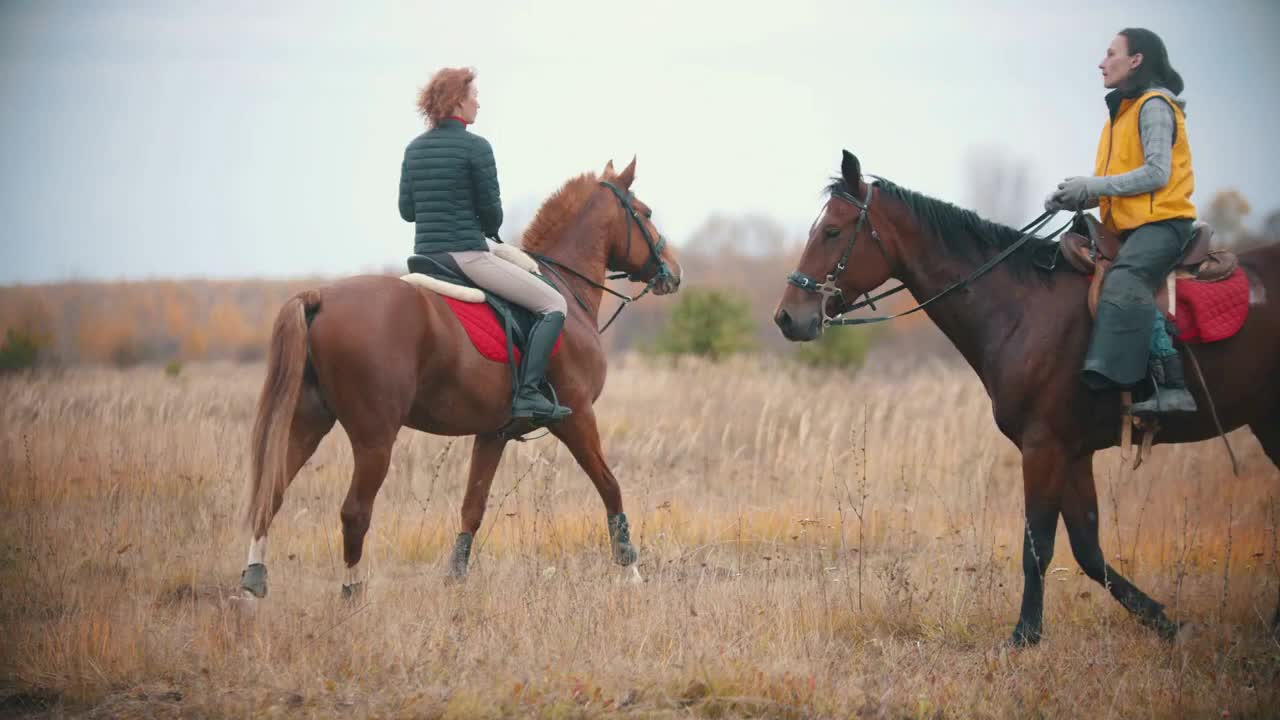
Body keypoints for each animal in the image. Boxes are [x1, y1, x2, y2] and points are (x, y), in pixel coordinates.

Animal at [239, 159, 680, 597]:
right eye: (645, 213)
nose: (674, 273)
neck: (564, 289)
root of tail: (320, 297)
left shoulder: (494, 433)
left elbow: (473, 507)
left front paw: (455, 577)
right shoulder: (577, 416)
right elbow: (610, 486)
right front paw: (630, 568)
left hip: (308, 421)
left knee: (271, 494)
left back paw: (253, 583)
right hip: (374, 437)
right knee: (354, 512)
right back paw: (352, 592)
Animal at [773, 148, 1274, 640]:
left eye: (832, 231)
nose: (788, 318)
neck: (1022, 307)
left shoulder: (1043, 447)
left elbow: (1039, 545)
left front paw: (1024, 634)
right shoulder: (1072, 452)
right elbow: (1087, 549)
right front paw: (1165, 622)